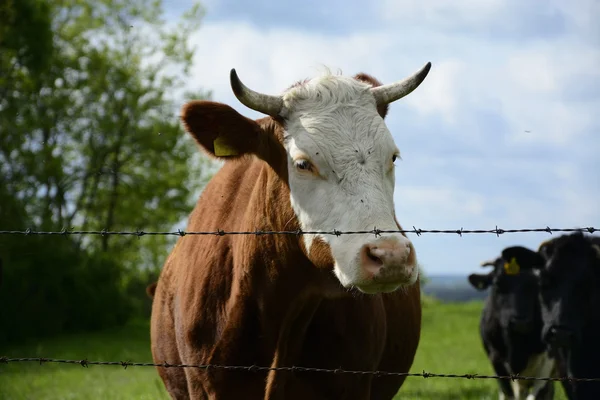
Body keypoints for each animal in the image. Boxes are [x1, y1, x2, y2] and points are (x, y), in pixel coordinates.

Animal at [468, 245, 556, 398]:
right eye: (497, 283)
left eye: (537, 285)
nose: (520, 322)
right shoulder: (495, 359)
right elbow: (507, 393)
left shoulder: (548, 360)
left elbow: (537, 395)